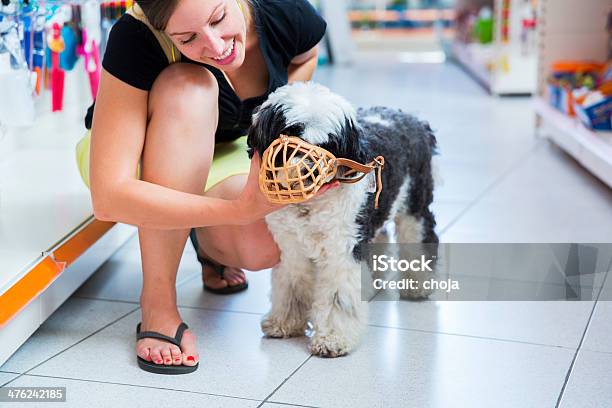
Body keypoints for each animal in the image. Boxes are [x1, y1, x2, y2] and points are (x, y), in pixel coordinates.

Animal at [246, 81, 438, 356]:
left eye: (329, 144)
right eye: (290, 133)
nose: (306, 169)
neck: (309, 205)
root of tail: (414, 119)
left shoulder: (342, 250)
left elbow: (338, 296)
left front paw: (333, 338)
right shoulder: (291, 248)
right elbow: (291, 284)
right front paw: (285, 322)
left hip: (415, 204)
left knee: (420, 237)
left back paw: (419, 284)